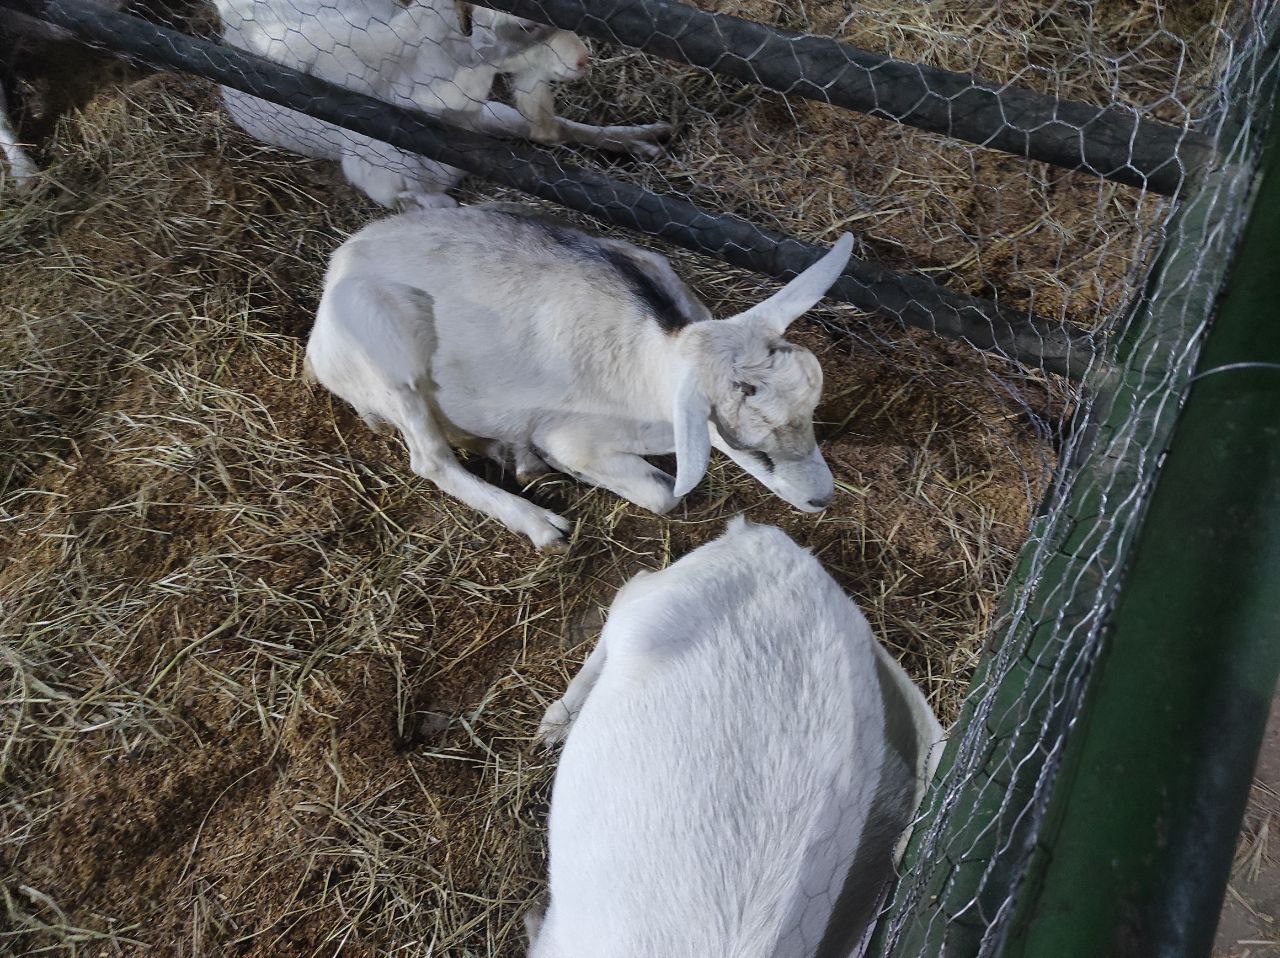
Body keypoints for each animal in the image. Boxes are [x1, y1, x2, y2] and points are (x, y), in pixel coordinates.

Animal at [304, 203, 855, 545]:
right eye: (744, 440)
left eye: (812, 410)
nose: (822, 498)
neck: (659, 351)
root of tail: (337, 267)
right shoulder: (576, 437)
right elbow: (663, 495)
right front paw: (557, 468)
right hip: (386, 351)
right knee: (430, 459)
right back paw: (540, 522)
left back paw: (514, 456)